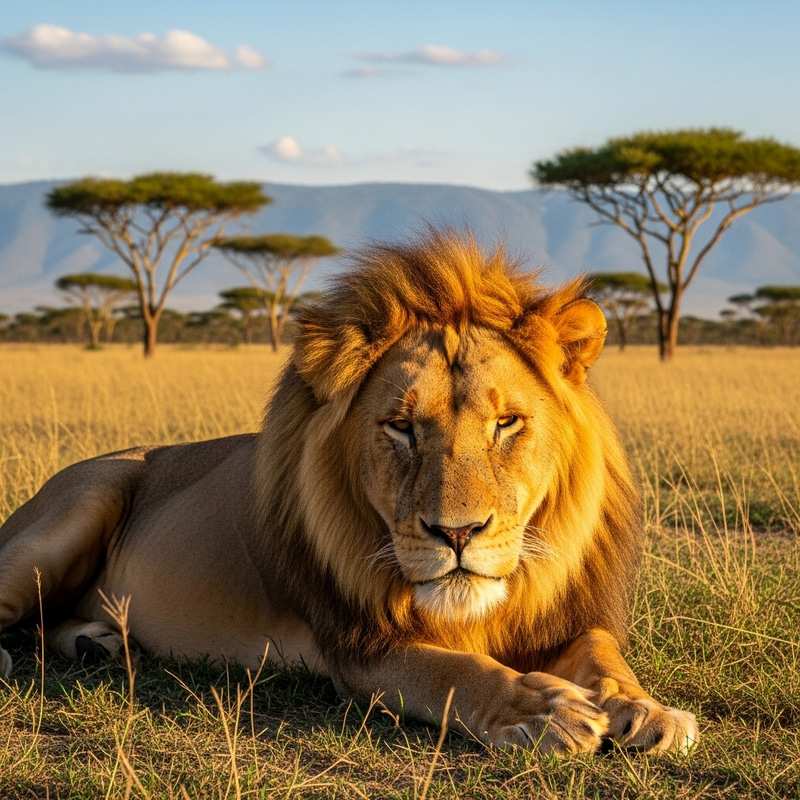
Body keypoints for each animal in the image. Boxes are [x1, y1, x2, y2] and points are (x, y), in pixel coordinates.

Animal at [0, 228, 697, 755]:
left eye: (506, 423)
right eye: (400, 426)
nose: (458, 533)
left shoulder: (565, 617)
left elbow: (603, 652)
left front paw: (647, 709)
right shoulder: (358, 647)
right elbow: (453, 671)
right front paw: (542, 709)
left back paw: (96, 645)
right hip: (83, 499)